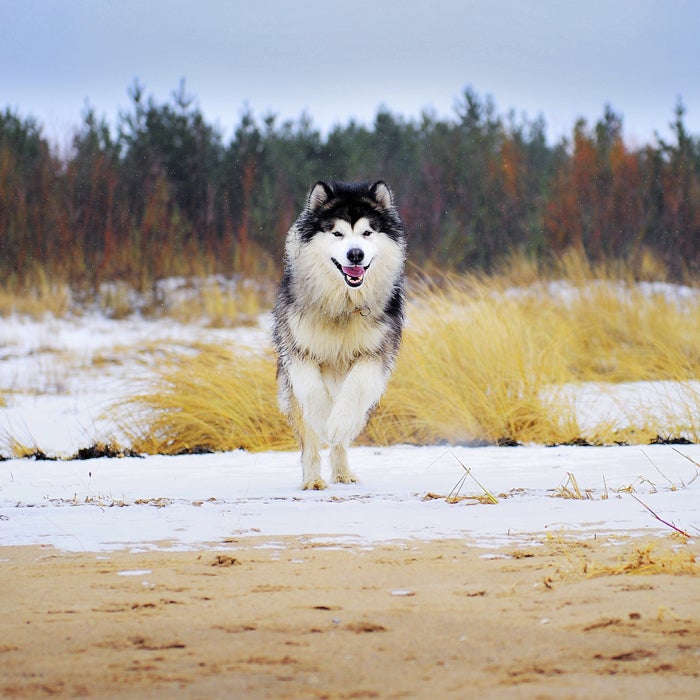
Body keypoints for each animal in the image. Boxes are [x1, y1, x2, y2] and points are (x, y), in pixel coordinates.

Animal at [272, 179, 408, 486]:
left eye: (367, 232)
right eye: (337, 233)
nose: (355, 254)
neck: (344, 308)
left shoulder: (375, 354)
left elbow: (355, 388)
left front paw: (336, 423)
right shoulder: (298, 351)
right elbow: (312, 392)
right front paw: (325, 420)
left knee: (344, 435)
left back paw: (343, 472)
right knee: (309, 440)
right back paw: (312, 480)